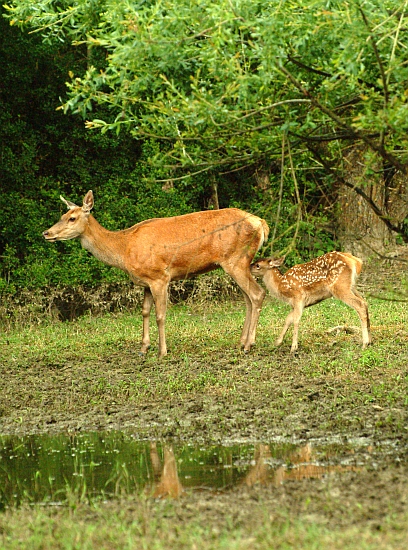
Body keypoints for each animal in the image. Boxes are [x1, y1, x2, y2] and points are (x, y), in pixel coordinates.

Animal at [43, 192, 268, 360]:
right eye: (62, 215)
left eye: (72, 218)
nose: (46, 233)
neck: (123, 249)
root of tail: (261, 223)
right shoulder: (145, 282)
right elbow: (144, 312)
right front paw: (143, 348)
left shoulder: (160, 277)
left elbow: (160, 315)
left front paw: (162, 351)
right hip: (236, 263)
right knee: (248, 299)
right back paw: (241, 342)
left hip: (236, 260)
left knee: (257, 294)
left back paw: (249, 344)